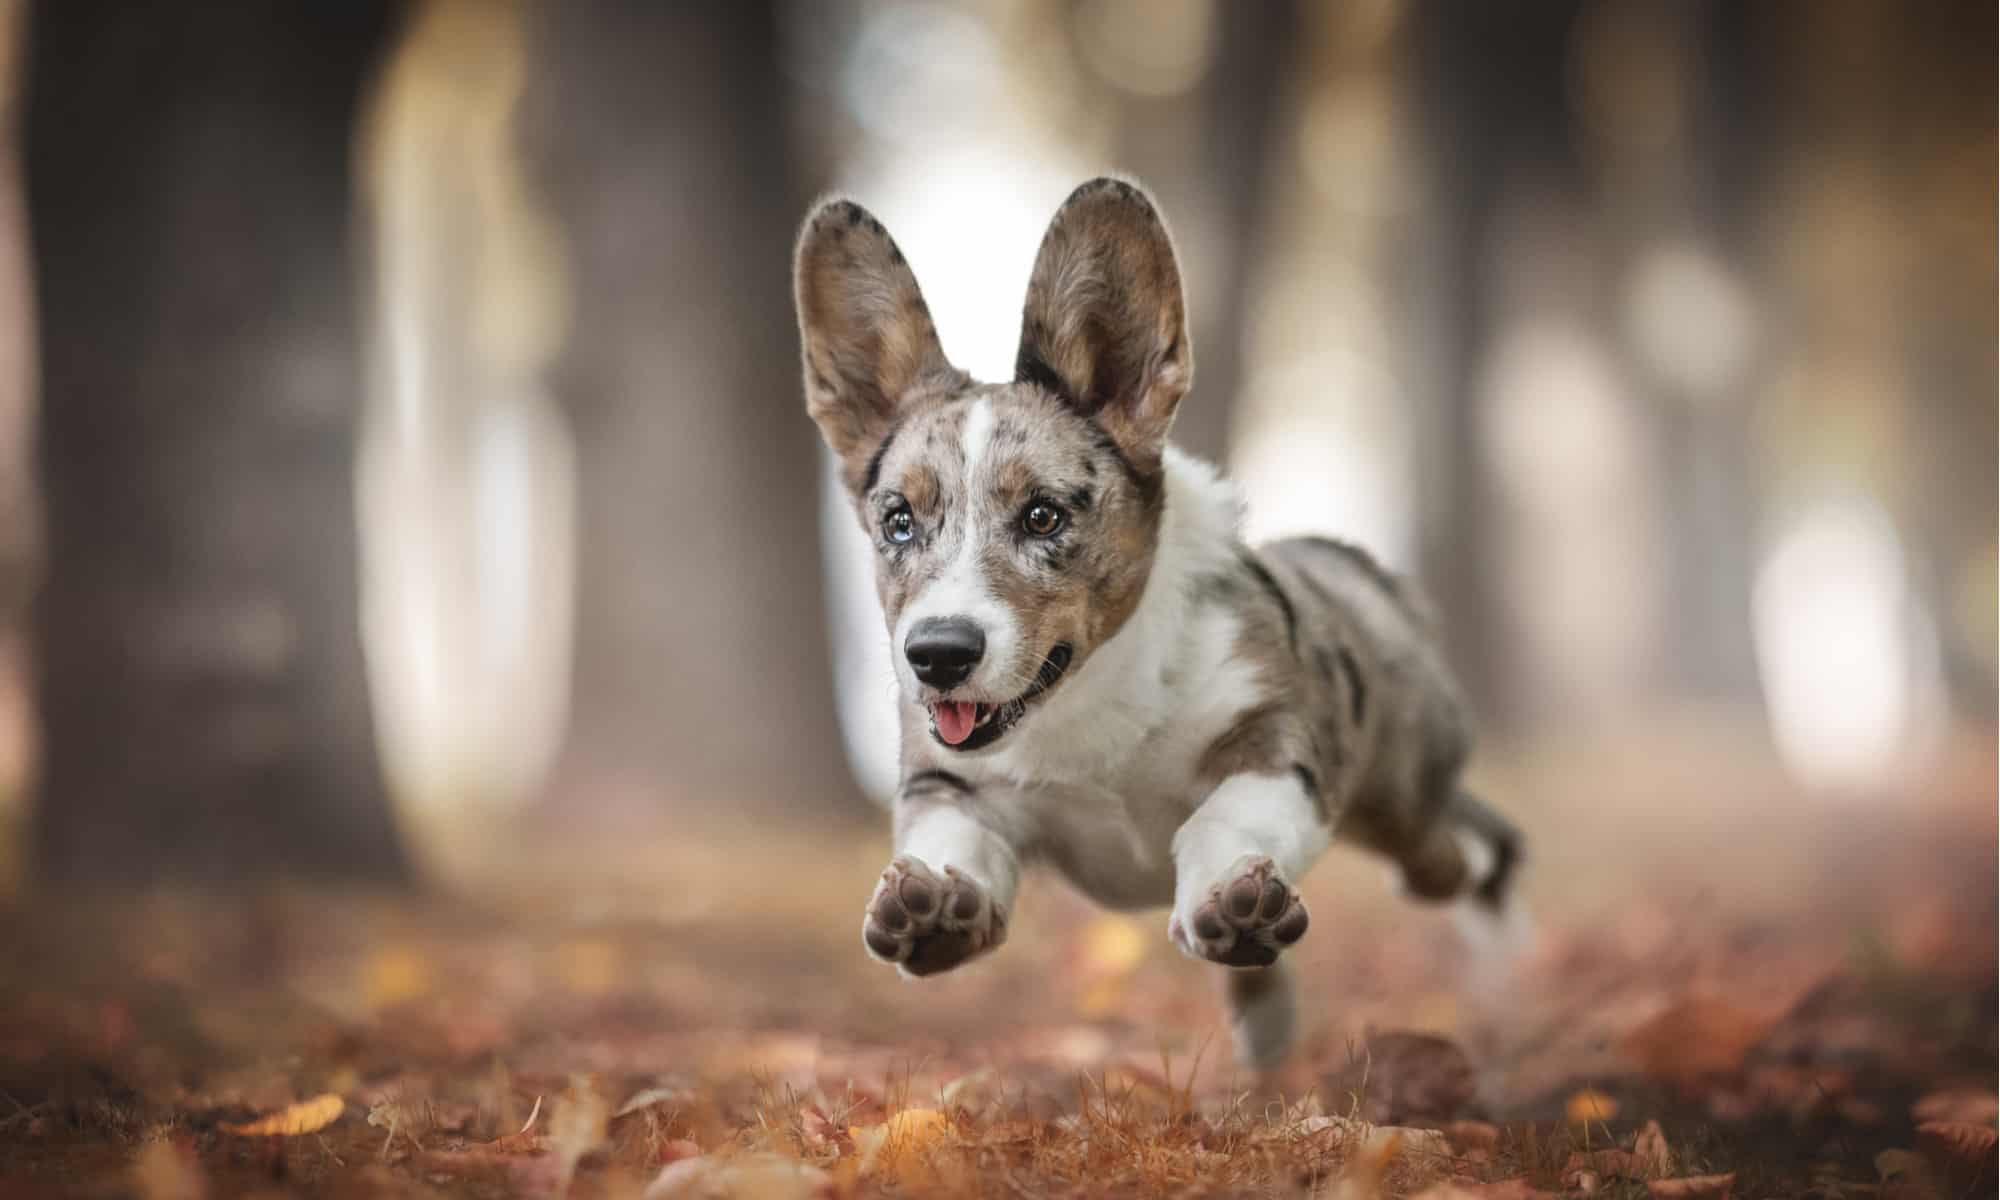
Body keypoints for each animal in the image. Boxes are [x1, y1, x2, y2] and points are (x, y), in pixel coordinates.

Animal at [788, 178, 1520, 1072]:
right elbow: (952, 841)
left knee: (1466, 855)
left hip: (1406, 803)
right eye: (897, 521)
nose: (938, 655)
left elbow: (1221, 818)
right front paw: (931, 909)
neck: (1085, 699)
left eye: (1042, 515)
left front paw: (1224, 892)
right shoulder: (946, 783)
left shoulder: (1278, 742)